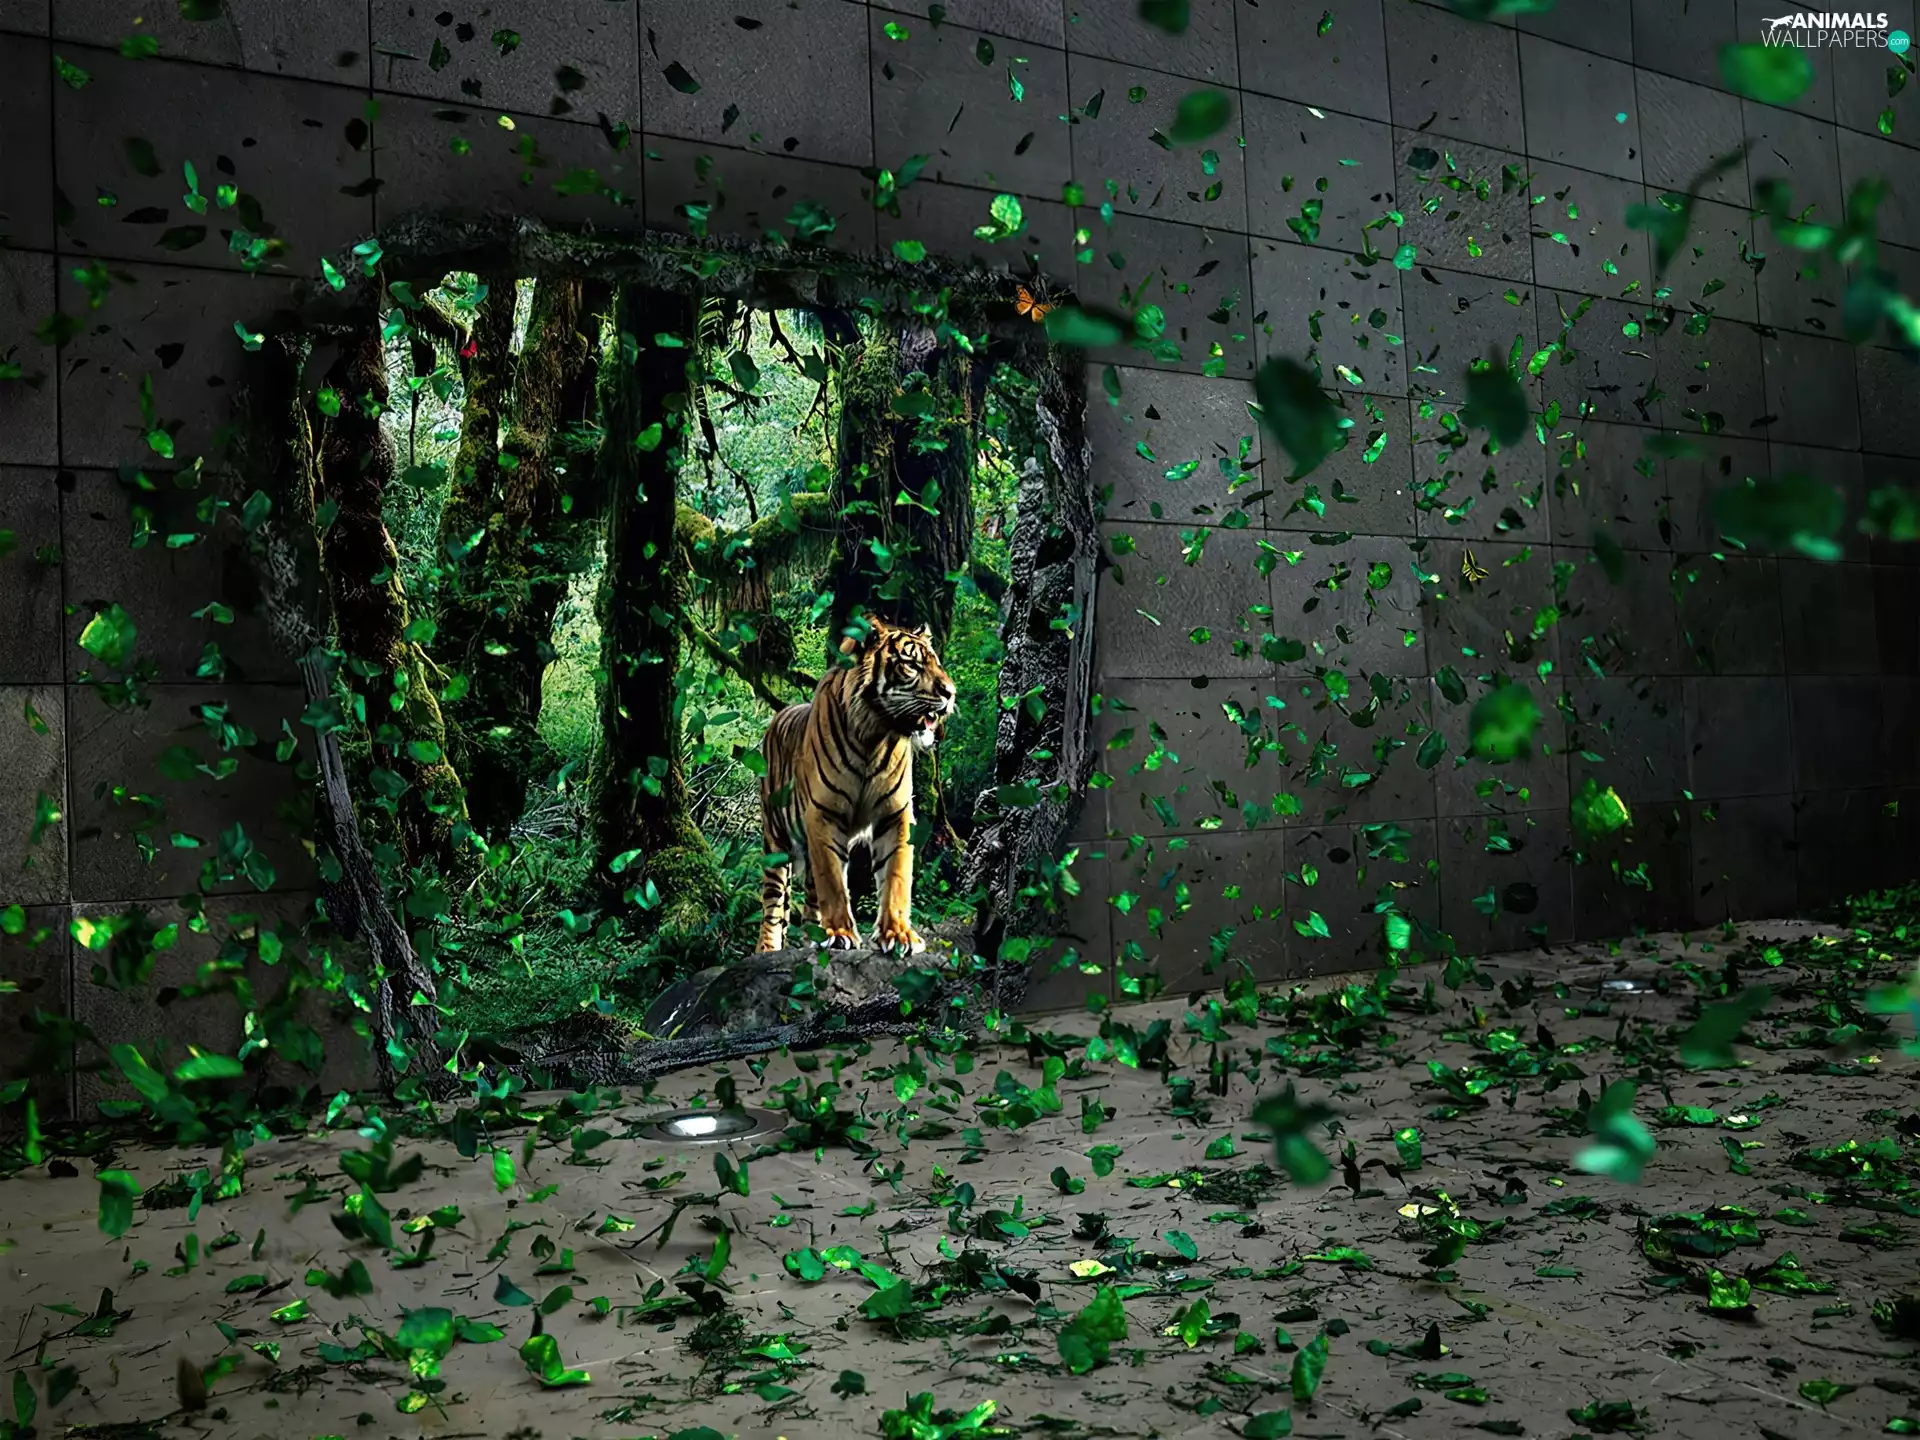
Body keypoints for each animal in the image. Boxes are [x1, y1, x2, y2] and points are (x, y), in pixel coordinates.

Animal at [756, 618, 957, 954]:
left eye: (937, 664)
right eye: (912, 664)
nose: (951, 693)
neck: (874, 735)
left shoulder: (895, 814)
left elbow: (896, 875)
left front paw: (899, 934)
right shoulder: (824, 813)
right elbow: (833, 882)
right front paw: (840, 932)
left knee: (810, 895)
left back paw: (812, 935)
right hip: (775, 841)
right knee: (773, 904)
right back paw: (768, 949)